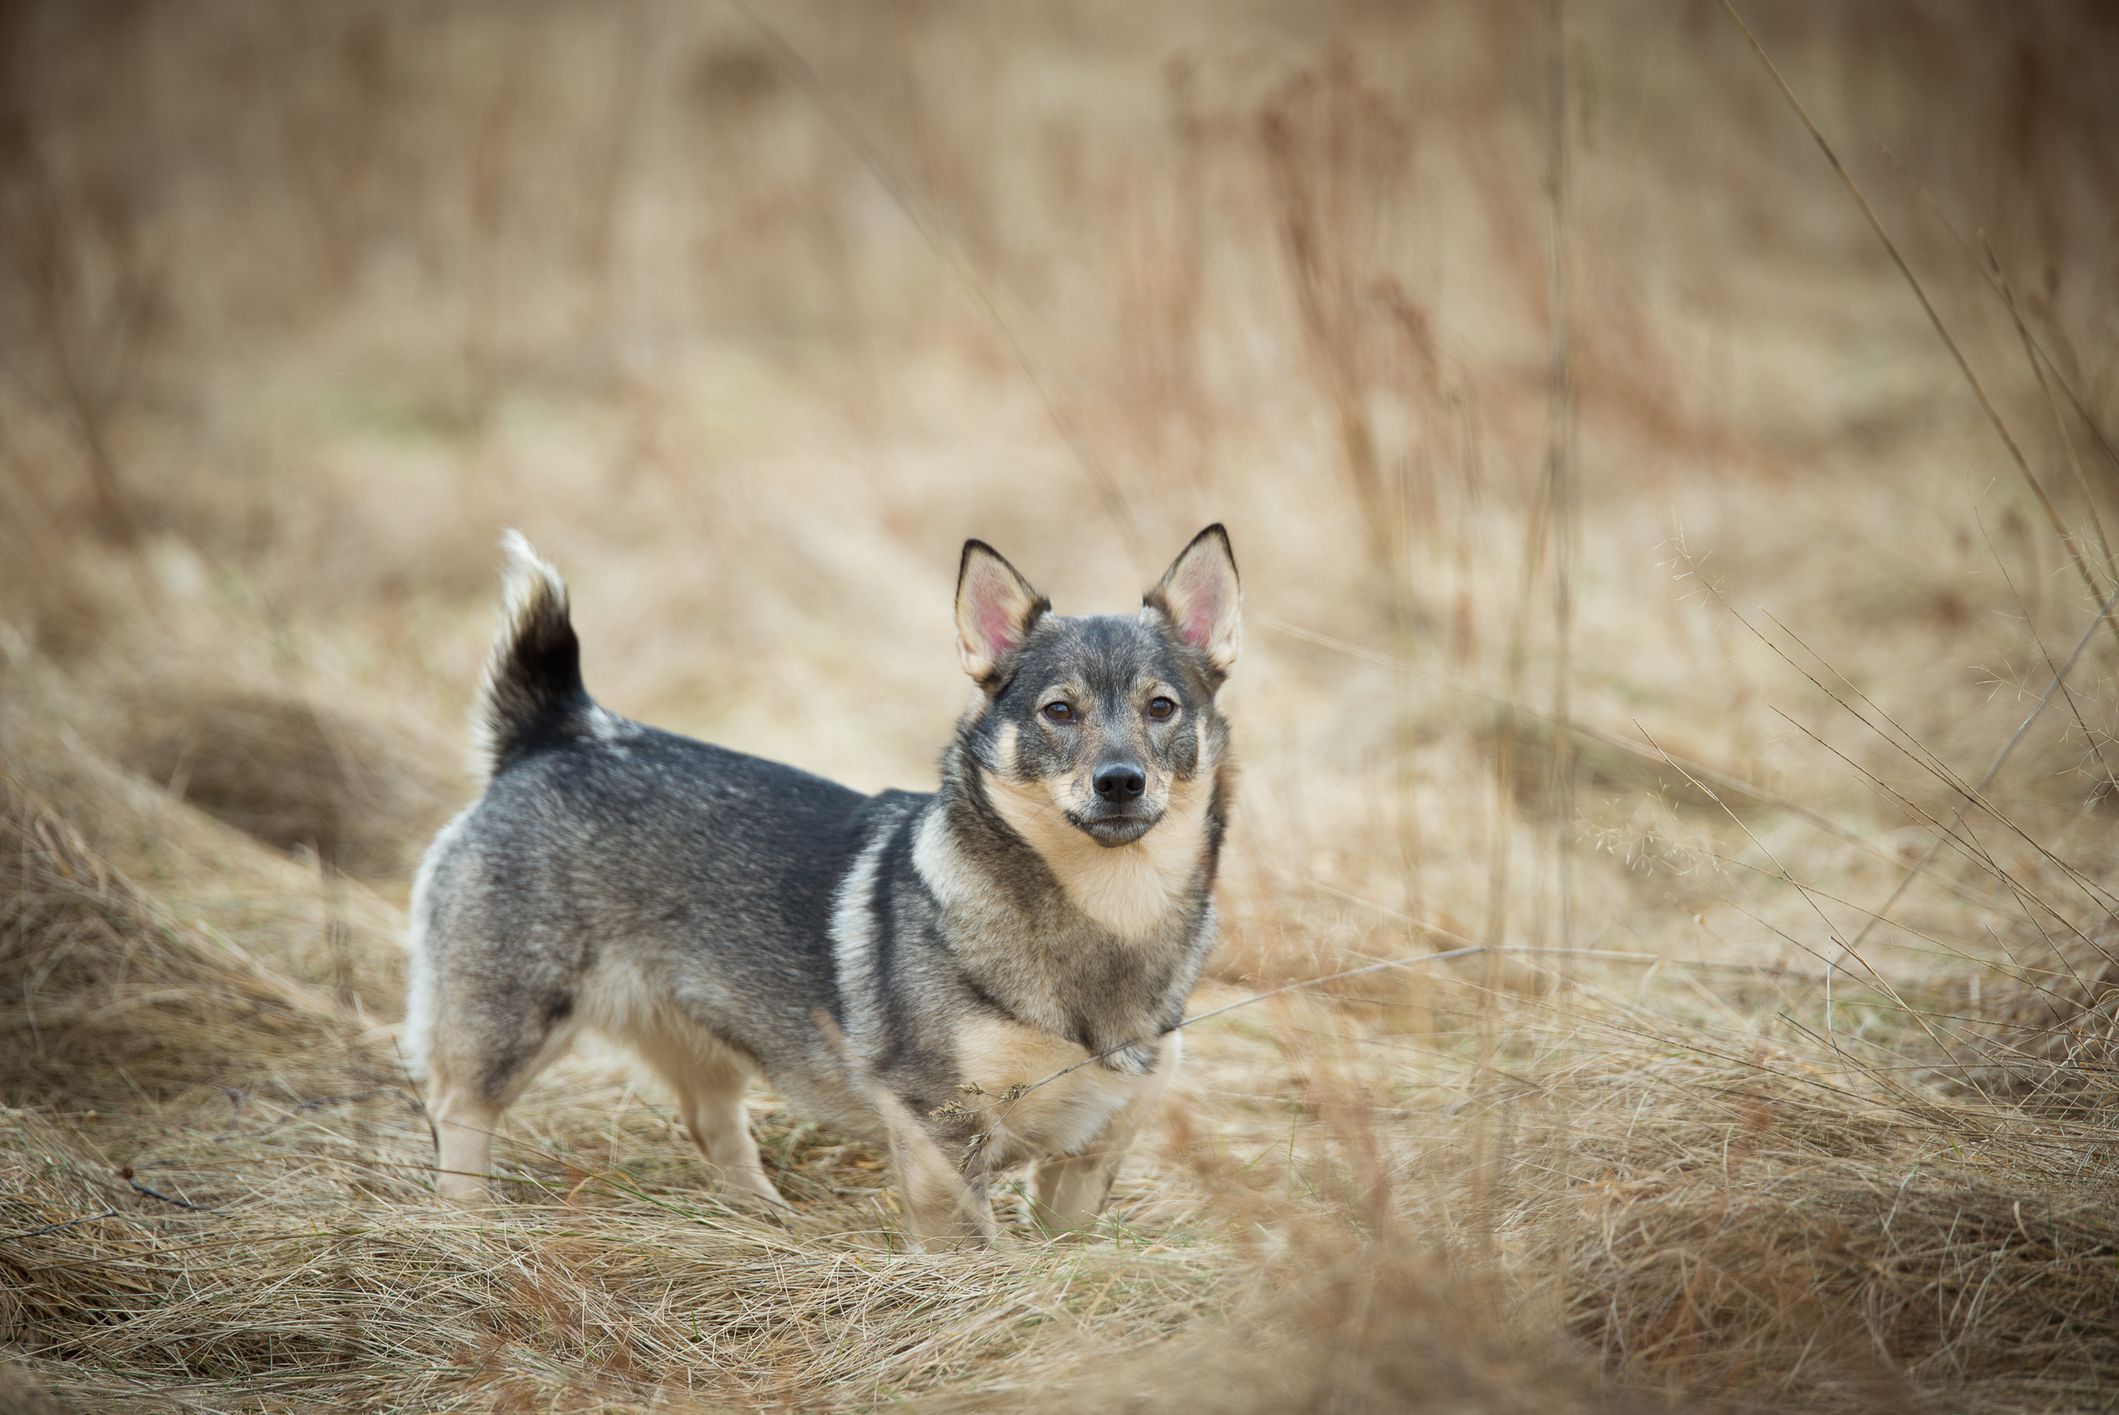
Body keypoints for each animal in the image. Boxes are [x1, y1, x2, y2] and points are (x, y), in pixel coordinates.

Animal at [404, 525, 1237, 1245]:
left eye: (1161, 707)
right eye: (1058, 710)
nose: (1120, 781)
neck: (1106, 910)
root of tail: (557, 733)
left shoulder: (1087, 1160)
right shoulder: (940, 1132)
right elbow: (967, 1248)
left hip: (699, 1039)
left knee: (714, 1126)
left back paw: (764, 1221)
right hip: (510, 1020)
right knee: (456, 1111)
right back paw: (464, 1226)